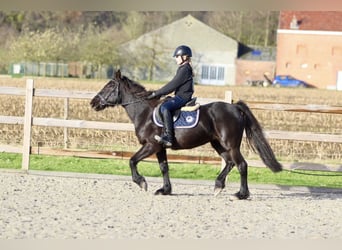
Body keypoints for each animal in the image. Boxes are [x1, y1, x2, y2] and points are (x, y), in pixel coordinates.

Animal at [89, 70, 282, 199]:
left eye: (110, 85)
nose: (93, 103)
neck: (144, 112)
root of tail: (234, 107)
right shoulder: (160, 147)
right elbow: (164, 167)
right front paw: (165, 190)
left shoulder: (151, 145)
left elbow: (132, 161)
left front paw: (142, 182)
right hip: (218, 144)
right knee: (230, 163)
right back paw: (218, 186)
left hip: (231, 144)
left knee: (241, 165)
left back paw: (241, 194)